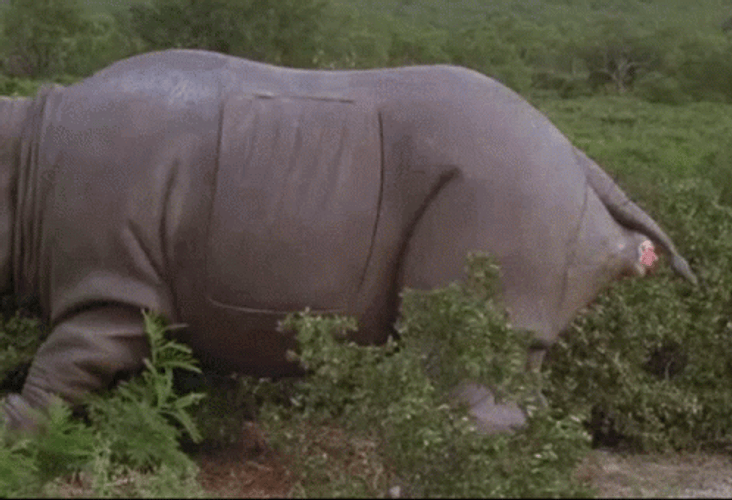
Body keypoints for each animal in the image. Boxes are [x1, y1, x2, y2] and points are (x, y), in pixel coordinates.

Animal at [0, 49, 696, 433]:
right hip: (538, 190)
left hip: (510, 187)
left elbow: (70, 356)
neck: (24, 155)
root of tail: (579, 157)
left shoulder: (113, 277)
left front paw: (14, 427)